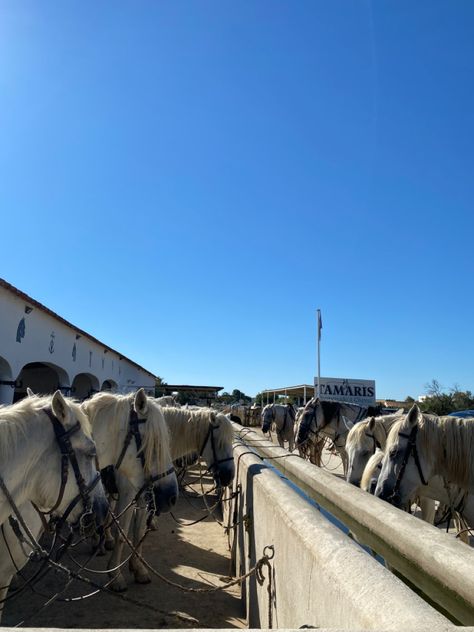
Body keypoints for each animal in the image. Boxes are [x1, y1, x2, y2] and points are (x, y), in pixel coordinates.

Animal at [82, 388, 179, 592]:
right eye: (154, 443)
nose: (172, 497)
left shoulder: (142, 496)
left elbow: (138, 531)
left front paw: (138, 568)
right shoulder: (127, 495)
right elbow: (123, 533)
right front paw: (115, 575)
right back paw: (97, 541)